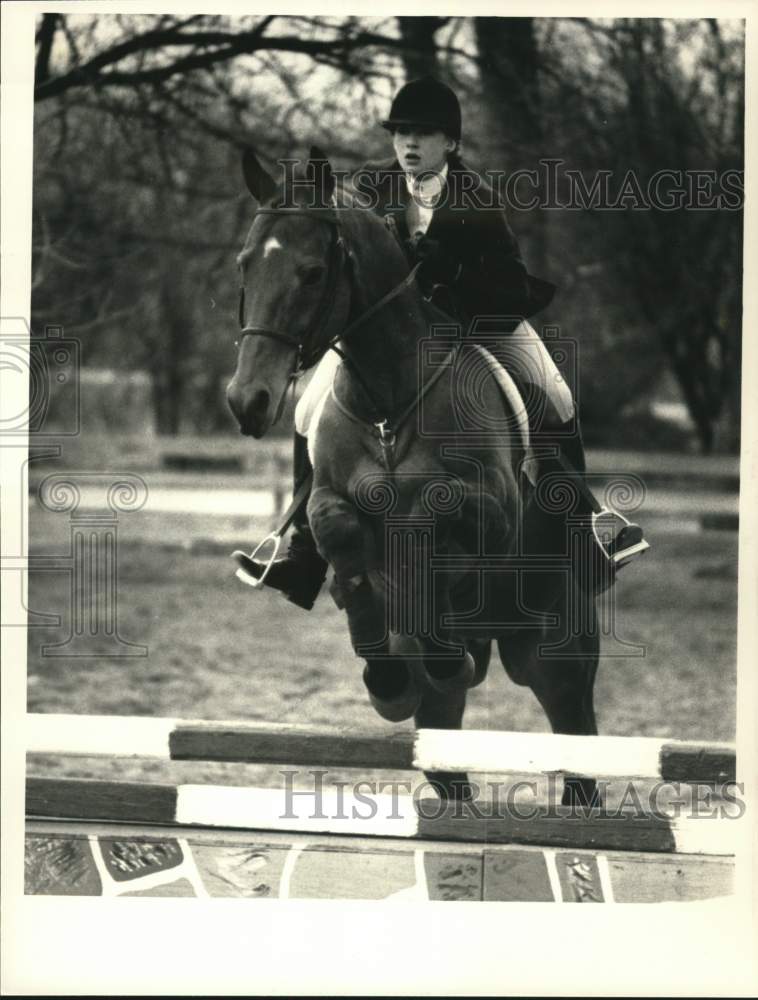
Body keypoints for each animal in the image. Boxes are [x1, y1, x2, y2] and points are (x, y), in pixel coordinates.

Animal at [229, 146, 604, 804]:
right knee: (446, 745)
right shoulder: (327, 499)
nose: (248, 400)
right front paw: (384, 673)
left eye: (312, 273)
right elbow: (343, 538)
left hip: (557, 654)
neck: (389, 403)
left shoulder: (494, 511)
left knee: (574, 734)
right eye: (246, 266)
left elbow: (434, 510)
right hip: (453, 710)